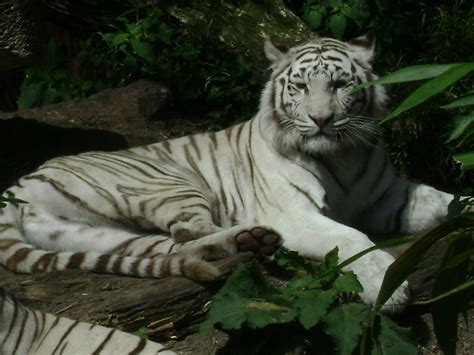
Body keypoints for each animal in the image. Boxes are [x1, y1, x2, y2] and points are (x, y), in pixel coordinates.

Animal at [0, 32, 454, 314]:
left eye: (341, 85)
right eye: (300, 87)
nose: (321, 120)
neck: (341, 155)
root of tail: (21, 180)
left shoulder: (390, 198)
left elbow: (446, 201)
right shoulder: (296, 214)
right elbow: (352, 236)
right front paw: (386, 288)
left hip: (95, 234)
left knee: (172, 246)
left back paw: (248, 241)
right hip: (167, 182)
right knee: (187, 230)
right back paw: (256, 239)